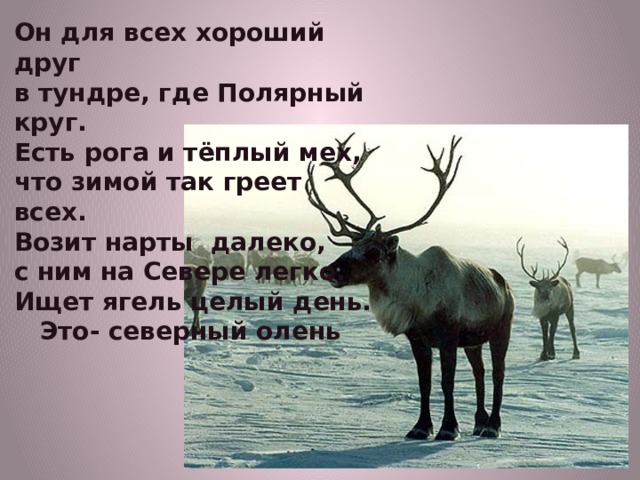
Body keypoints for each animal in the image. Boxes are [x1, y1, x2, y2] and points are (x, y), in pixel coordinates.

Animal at [306, 133, 515, 440]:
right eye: (352, 246)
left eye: (374, 252)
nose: (328, 270)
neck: (416, 294)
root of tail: (504, 283)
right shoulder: (417, 339)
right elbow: (423, 384)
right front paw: (420, 427)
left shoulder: (448, 336)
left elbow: (447, 382)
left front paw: (448, 429)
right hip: (473, 341)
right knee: (480, 372)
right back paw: (479, 422)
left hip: (501, 329)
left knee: (498, 373)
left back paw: (493, 426)